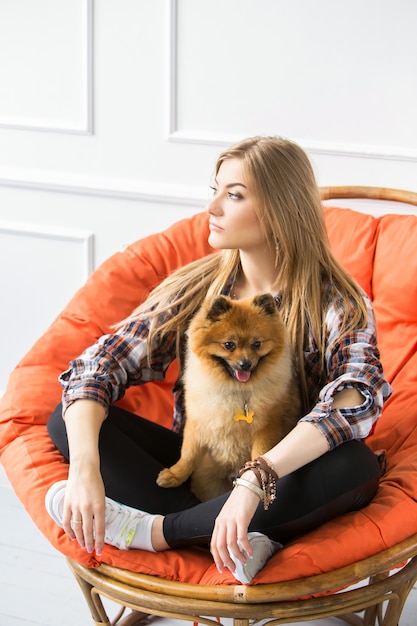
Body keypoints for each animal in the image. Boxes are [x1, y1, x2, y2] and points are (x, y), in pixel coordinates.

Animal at [155, 292, 300, 502]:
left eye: (256, 344)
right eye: (229, 345)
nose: (245, 364)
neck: (235, 389)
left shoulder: (267, 429)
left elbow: (259, 454)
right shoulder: (197, 423)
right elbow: (188, 454)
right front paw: (175, 475)